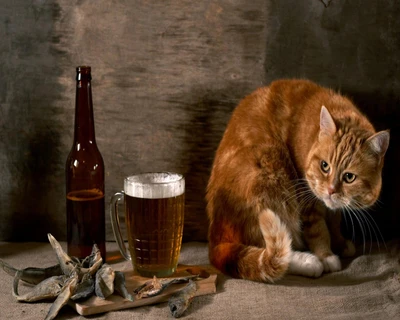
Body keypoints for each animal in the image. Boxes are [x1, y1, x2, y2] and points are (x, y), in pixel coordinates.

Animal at [208, 80, 390, 282]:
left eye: (349, 177)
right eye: (325, 166)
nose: (331, 190)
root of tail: (216, 235)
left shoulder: (332, 207)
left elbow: (335, 220)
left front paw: (340, 243)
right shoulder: (307, 198)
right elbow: (318, 229)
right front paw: (326, 255)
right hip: (270, 167)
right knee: (274, 250)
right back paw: (309, 263)